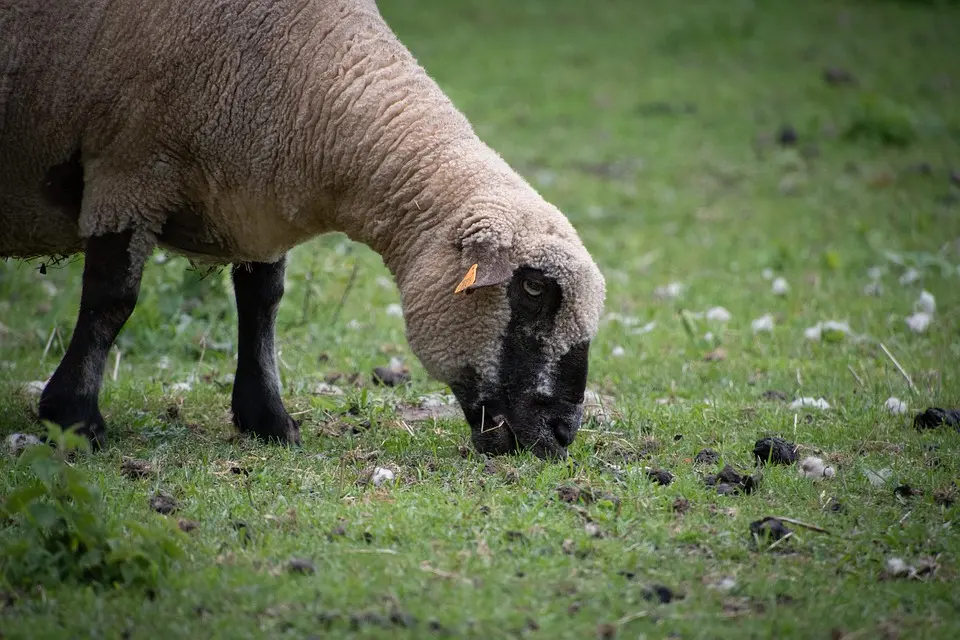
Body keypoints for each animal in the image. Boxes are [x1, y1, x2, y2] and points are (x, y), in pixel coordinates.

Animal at [0, 0, 604, 460]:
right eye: (533, 288)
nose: (562, 435)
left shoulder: (254, 205)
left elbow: (263, 302)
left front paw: (268, 419)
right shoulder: (128, 172)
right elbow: (112, 300)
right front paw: (75, 421)